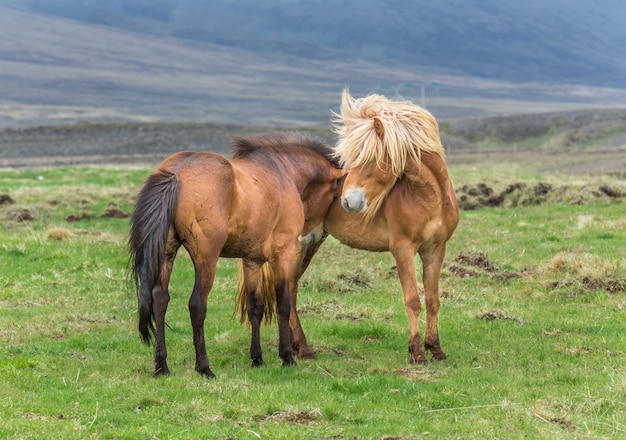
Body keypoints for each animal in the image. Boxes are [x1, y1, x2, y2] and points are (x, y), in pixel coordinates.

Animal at [126, 131, 342, 378]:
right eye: (335, 195)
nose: (317, 234)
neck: (282, 171)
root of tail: (176, 173)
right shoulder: (282, 254)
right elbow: (284, 303)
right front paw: (287, 356)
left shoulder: (252, 260)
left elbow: (255, 307)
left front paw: (257, 358)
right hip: (206, 259)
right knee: (197, 304)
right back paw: (204, 367)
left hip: (166, 254)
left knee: (160, 299)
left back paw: (162, 366)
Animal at [288, 90, 458, 364]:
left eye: (370, 159)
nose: (348, 201)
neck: (428, 198)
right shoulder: (403, 249)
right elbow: (413, 300)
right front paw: (416, 352)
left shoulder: (435, 250)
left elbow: (432, 300)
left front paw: (435, 348)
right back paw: (301, 348)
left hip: (312, 242)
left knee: (290, 287)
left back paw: (297, 346)